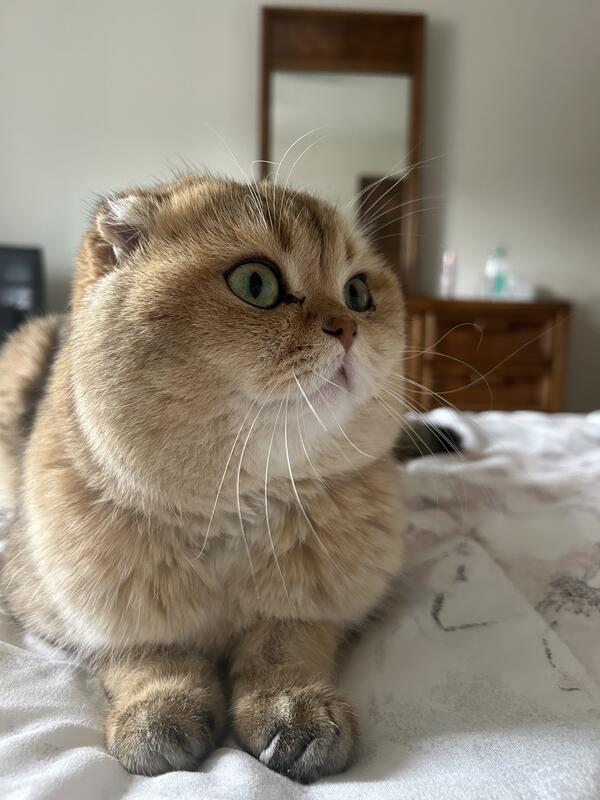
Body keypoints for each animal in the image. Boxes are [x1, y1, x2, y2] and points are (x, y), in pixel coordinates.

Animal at [0, 174, 407, 783]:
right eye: (256, 283)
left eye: (358, 293)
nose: (349, 327)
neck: (232, 508)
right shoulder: (65, 606)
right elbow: (144, 652)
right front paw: (159, 708)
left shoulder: (321, 608)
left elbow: (283, 644)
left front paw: (291, 706)